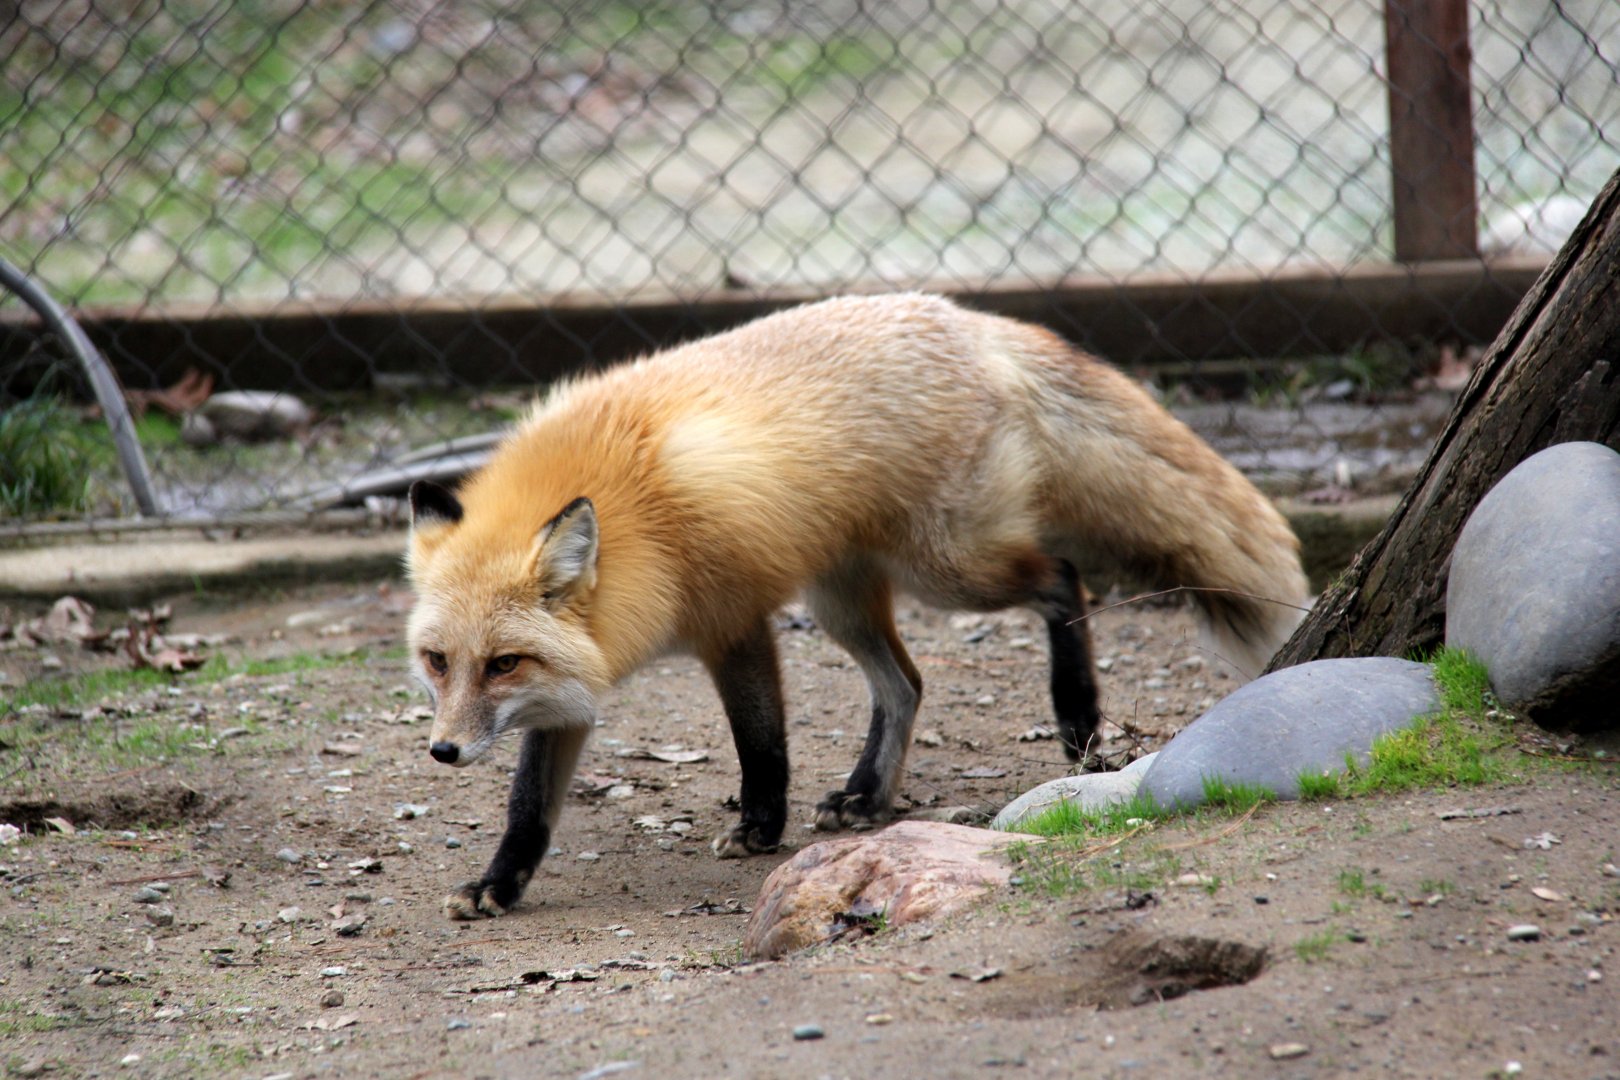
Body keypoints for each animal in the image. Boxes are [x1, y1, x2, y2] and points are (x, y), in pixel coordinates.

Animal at [404, 293, 1308, 919]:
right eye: (439, 662)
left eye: (503, 662)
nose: (443, 752)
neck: (636, 530)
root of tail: (969, 319)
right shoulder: (573, 685)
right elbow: (528, 804)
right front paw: (498, 884)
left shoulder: (733, 619)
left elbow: (762, 742)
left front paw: (761, 828)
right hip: (842, 597)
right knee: (907, 684)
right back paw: (868, 796)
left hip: (950, 568)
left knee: (1060, 576)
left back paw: (1077, 713)